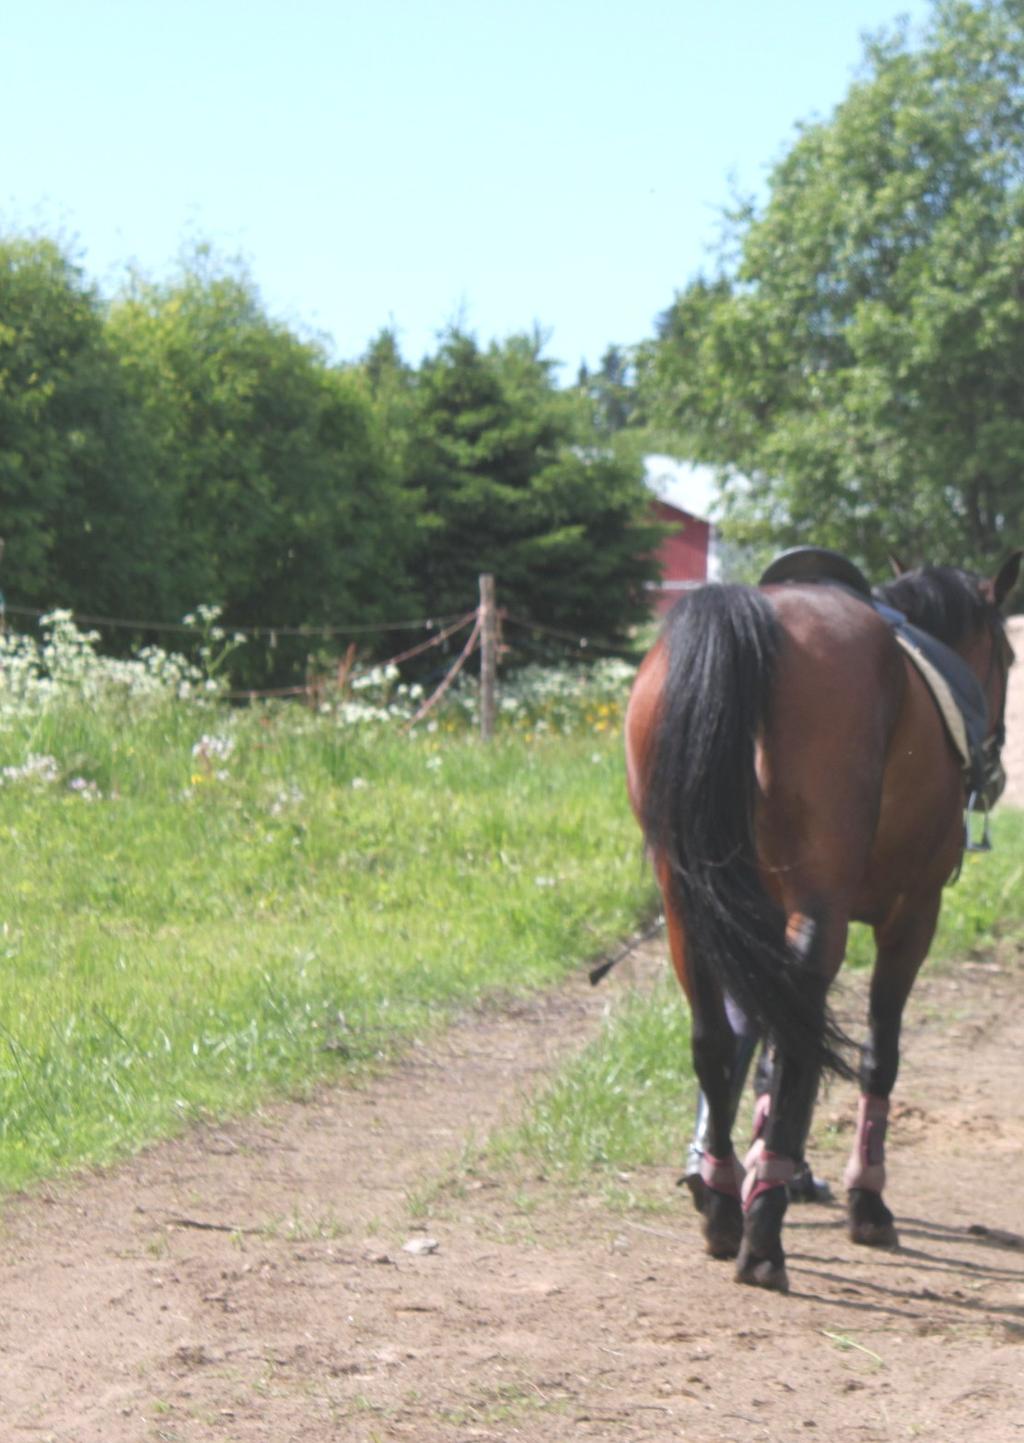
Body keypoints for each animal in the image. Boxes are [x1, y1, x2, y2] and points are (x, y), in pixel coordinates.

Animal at [625, 548, 1021, 1287]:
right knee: (799, 1037)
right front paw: (867, 1199)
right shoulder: (912, 915)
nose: (996, 769)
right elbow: (876, 1055)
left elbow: (761, 1052)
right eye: (1009, 655)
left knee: (715, 1039)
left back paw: (725, 1198)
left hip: (686, 903)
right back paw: (762, 1231)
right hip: (819, 909)